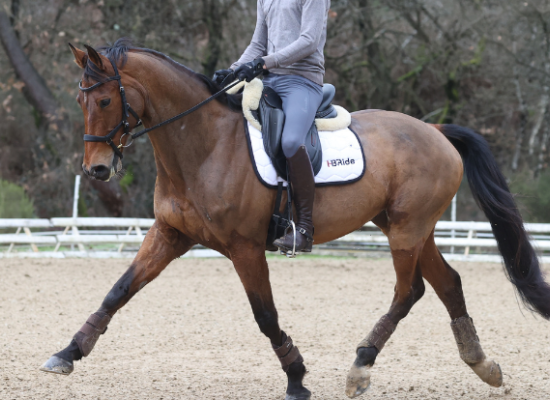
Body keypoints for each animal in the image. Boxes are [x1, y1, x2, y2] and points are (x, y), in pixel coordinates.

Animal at [41, 39, 550, 398]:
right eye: (82, 101)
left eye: (105, 101)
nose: (96, 170)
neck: (202, 145)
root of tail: (435, 130)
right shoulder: (170, 235)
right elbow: (118, 291)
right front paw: (68, 352)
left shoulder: (245, 248)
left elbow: (265, 315)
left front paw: (297, 377)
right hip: (406, 227)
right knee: (447, 284)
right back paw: (483, 365)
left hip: (407, 230)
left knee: (410, 291)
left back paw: (361, 366)